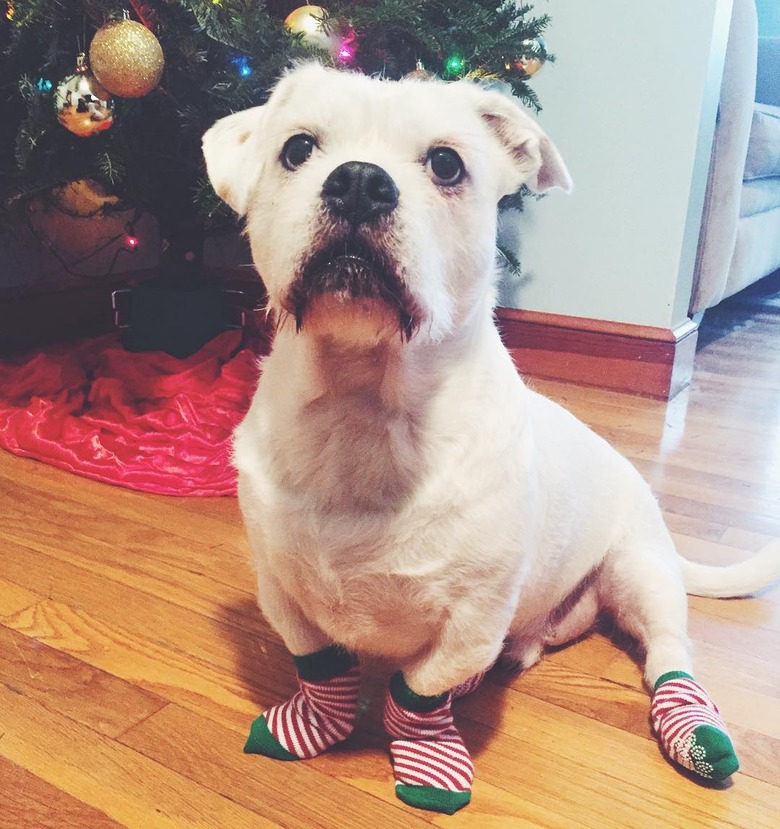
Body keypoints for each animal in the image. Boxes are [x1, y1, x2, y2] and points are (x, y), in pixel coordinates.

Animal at [203, 64, 780, 816]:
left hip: (640, 573)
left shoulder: (469, 620)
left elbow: (420, 692)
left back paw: (692, 728)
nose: (358, 181)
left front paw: (428, 760)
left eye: (447, 164)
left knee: (668, 652)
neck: (363, 413)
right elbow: (322, 670)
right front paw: (313, 726)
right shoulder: (284, 595)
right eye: (297, 149)